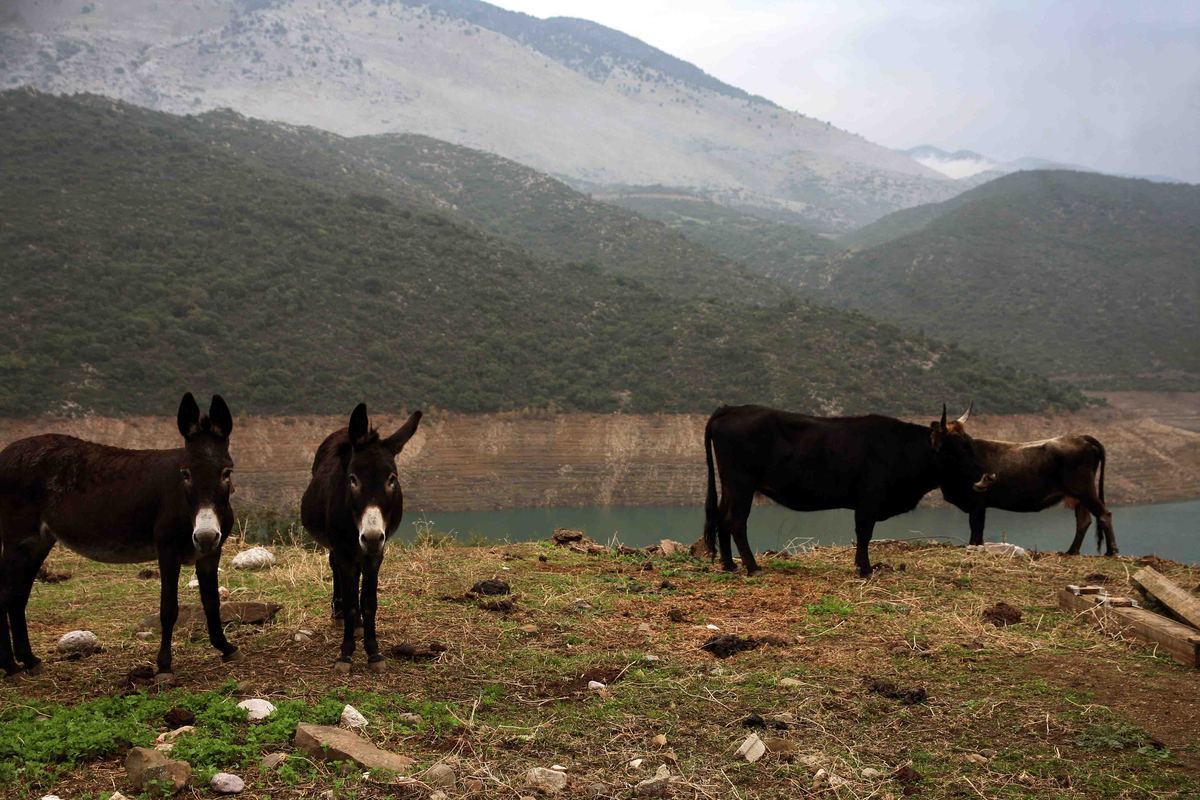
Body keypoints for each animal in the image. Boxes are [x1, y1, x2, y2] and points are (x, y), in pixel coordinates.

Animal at [0, 393, 241, 676]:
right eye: (185, 474)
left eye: (226, 472)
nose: (204, 535)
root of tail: (5, 453)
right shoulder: (167, 549)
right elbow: (169, 608)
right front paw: (164, 665)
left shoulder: (211, 553)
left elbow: (212, 601)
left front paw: (225, 647)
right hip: (18, 538)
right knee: (5, 594)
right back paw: (10, 666)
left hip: (38, 541)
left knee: (17, 596)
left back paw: (28, 660)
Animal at [300, 402, 422, 671]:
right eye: (353, 479)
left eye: (392, 479)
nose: (372, 537)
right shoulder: (344, 550)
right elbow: (350, 602)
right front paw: (345, 653)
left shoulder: (376, 555)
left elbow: (368, 602)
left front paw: (373, 652)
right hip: (338, 546)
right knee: (335, 568)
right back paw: (339, 614)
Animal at [700, 402, 988, 578]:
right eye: (958, 447)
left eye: (970, 442)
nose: (986, 474)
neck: (902, 448)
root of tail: (731, 409)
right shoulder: (869, 499)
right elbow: (864, 533)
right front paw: (865, 568)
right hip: (742, 483)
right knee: (736, 522)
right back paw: (752, 567)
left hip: (730, 485)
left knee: (722, 519)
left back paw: (729, 565)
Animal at [936, 407, 1113, 556]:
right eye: (956, 439)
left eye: (965, 439)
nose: (988, 476)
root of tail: (1081, 437)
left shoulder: (978, 503)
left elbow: (976, 530)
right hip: (1079, 494)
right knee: (1084, 520)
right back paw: (1071, 551)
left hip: (1084, 489)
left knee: (1104, 514)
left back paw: (1111, 551)